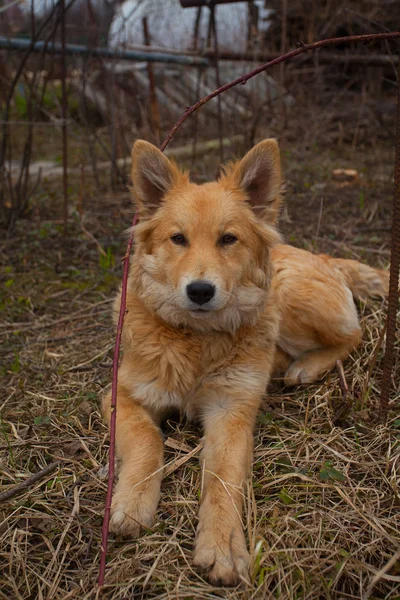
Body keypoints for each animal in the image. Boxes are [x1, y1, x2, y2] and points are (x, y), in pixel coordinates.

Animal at [101, 137, 390, 584]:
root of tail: (321, 255)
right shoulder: (122, 396)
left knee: (353, 335)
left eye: (228, 239)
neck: (197, 339)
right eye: (178, 239)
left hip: (290, 295)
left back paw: (304, 367)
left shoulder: (231, 410)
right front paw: (132, 504)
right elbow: (148, 441)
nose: (200, 291)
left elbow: (224, 479)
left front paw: (222, 545)